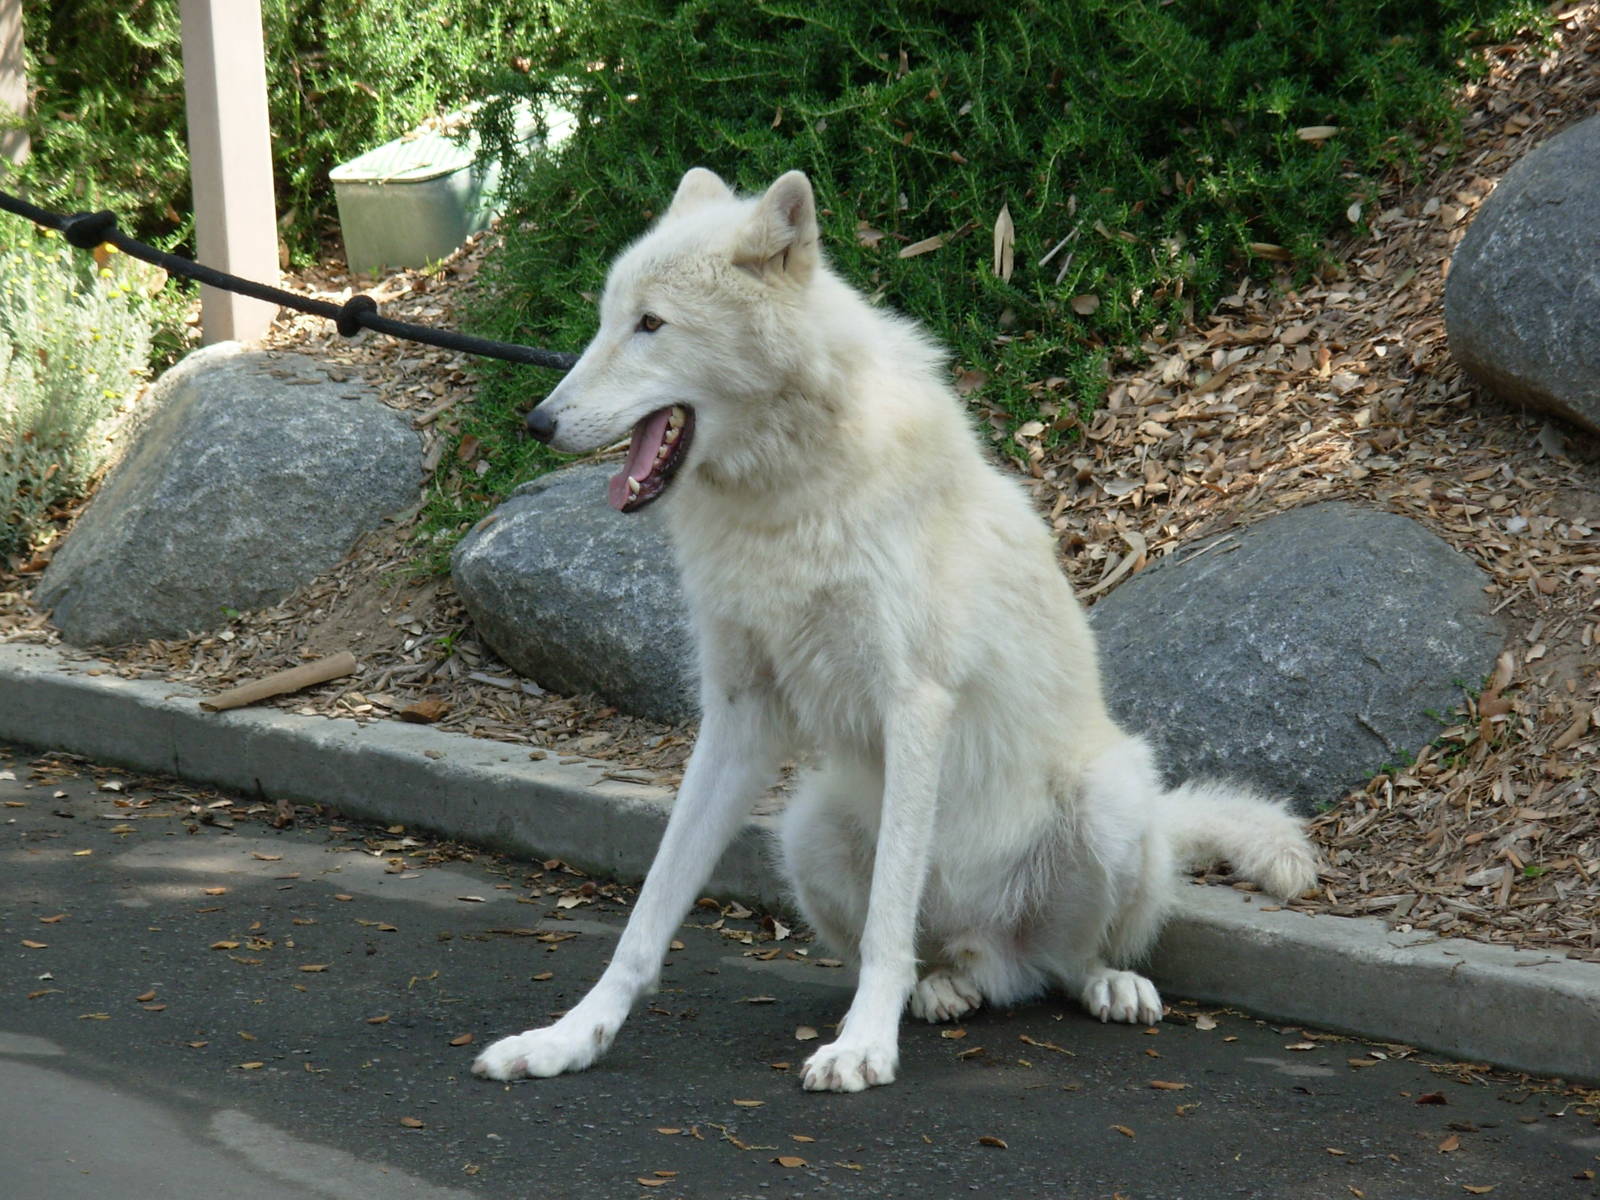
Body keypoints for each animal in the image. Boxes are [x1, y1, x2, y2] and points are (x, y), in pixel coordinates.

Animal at [472, 167, 1318, 1092]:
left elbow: (886, 927)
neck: (786, 504)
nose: (537, 422)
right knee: (953, 960)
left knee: (1065, 964)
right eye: (604, 320)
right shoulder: (736, 717)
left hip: (1110, 799)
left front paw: (862, 1048)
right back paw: (945, 988)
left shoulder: (915, 705)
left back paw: (1105, 984)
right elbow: (646, 918)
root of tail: (993, 951)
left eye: (650, 324)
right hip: (806, 826)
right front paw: (568, 1038)